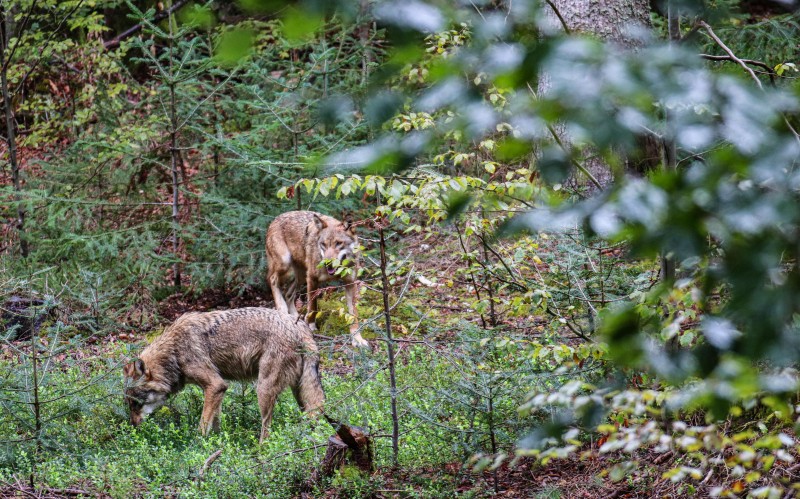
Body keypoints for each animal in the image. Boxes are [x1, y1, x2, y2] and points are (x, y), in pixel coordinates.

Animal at [122, 307, 324, 443]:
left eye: (136, 403)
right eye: (130, 403)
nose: (133, 427)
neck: (174, 352)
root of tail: (297, 325)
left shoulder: (215, 385)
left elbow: (202, 426)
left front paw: (197, 447)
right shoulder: (217, 390)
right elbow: (215, 422)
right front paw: (217, 443)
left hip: (263, 390)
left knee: (266, 429)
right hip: (299, 393)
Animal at [266, 210, 367, 347]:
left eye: (338, 243)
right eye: (323, 244)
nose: (327, 263)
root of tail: (275, 219)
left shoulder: (350, 283)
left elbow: (353, 315)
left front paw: (357, 339)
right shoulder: (312, 279)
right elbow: (313, 306)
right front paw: (311, 326)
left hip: (300, 277)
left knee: (288, 295)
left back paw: (295, 320)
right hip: (286, 266)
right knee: (272, 280)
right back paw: (282, 309)